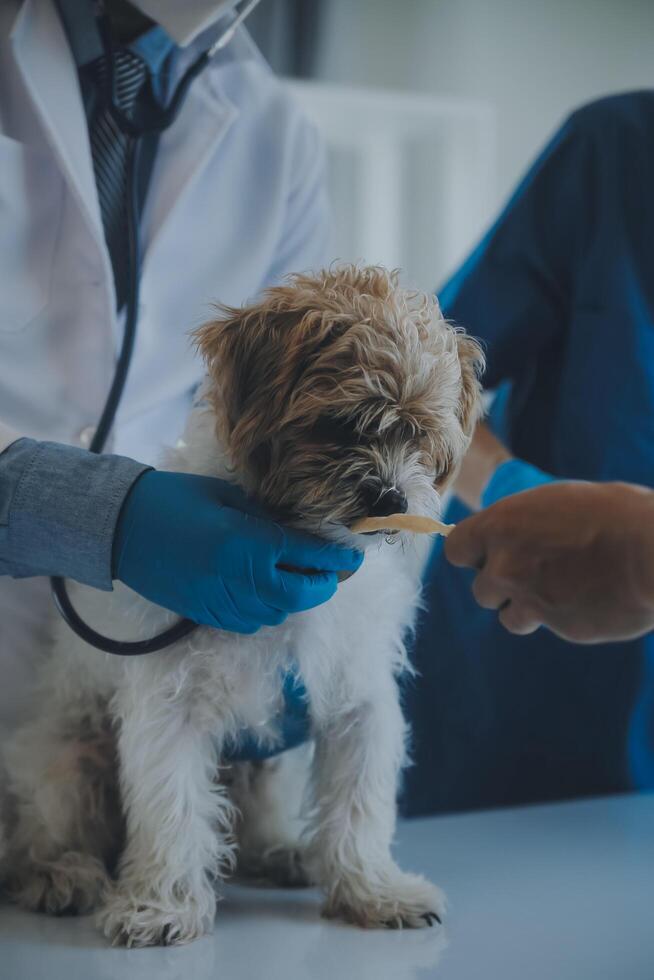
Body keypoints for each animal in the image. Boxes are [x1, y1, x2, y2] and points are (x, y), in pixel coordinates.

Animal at [2, 264, 484, 944]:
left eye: (419, 436)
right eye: (342, 425)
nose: (392, 496)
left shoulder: (360, 702)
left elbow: (360, 808)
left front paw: (372, 891)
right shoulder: (170, 707)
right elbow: (174, 810)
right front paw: (163, 906)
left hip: (267, 764)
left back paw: (284, 852)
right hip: (68, 760)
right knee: (33, 838)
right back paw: (60, 875)